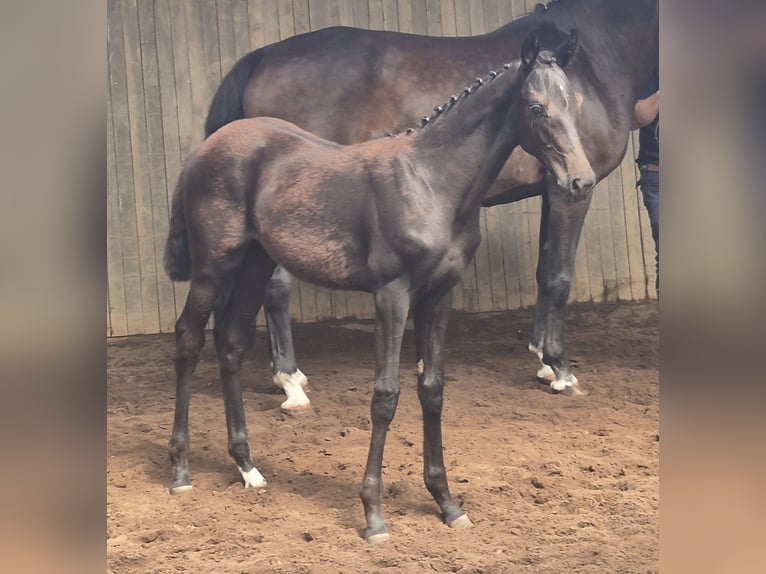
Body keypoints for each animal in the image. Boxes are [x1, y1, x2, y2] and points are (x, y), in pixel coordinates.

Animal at [164, 29, 594, 543]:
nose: (581, 181)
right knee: (188, 340)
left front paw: (447, 502)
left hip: (254, 263)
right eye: (536, 108)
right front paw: (373, 514)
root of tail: (202, 150)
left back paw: (247, 467)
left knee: (230, 342)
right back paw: (181, 470)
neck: (432, 184)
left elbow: (432, 388)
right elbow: (385, 396)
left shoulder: (438, 295)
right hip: (214, 266)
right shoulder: (392, 294)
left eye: (577, 103)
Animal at [203, 0, 659, 411]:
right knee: (276, 287)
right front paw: (560, 370)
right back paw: (290, 382)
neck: (600, 57)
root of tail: (264, 56)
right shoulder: (571, 190)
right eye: (539, 110)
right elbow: (559, 275)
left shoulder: (555, 187)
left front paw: (542, 359)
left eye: (574, 105)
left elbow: (544, 269)